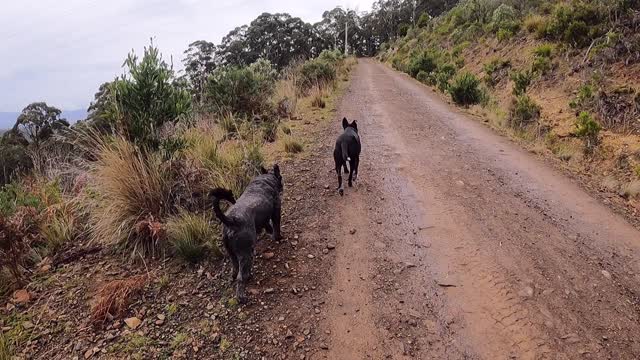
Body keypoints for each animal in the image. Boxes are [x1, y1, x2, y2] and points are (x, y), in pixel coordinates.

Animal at [210, 165, 282, 302]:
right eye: (280, 177)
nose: (281, 186)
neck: (264, 180)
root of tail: (231, 220)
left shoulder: (263, 218)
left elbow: (268, 225)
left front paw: (270, 232)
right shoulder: (276, 210)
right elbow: (276, 226)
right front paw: (278, 237)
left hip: (231, 253)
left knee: (235, 270)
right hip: (245, 253)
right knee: (240, 277)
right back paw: (242, 297)